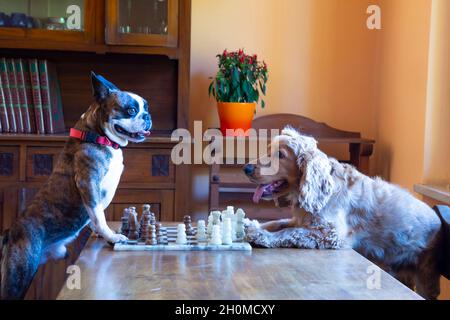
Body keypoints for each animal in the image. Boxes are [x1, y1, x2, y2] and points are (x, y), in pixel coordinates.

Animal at [0, 72, 151, 298]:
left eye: (146, 108)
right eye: (131, 110)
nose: (147, 116)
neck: (97, 136)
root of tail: (10, 232)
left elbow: (96, 216)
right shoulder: (88, 182)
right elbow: (98, 215)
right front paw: (112, 236)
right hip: (18, 275)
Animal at [244, 126, 442, 298]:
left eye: (280, 155)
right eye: (268, 150)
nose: (246, 168)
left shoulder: (329, 234)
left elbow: (289, 232)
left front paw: (261, 236)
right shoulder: (303, 220)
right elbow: (277, 223)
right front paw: (252, 225)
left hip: (425, 277)